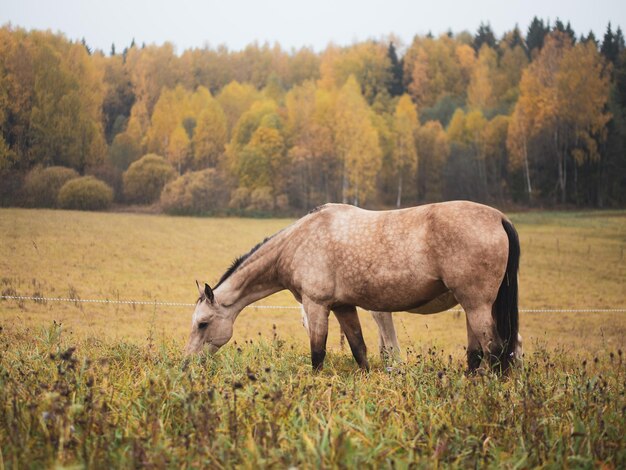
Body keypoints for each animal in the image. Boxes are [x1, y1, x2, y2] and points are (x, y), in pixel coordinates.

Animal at [188, 202, 520, 374]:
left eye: (203, 324)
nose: (187, 363)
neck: (297, 242)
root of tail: (499, 218)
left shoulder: (316, 305)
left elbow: (318, 354)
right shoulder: (343, 307)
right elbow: (359, 350)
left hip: (477, 306)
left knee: (495, 349)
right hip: (473, 307)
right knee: (477, 354)